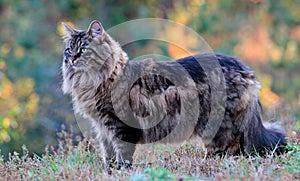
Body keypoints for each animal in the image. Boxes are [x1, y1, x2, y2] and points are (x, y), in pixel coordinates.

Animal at [60, 19, 286, 168]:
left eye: (83, 50)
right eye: (69, 50)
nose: (71, 59)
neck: (91, 82)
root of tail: (244, 68)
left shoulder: (119, 125)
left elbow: (122, 153)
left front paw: (121, 170)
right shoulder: (101, 126)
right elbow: (107, 152)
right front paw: (109, 170)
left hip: (217, 124)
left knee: (228, 148)